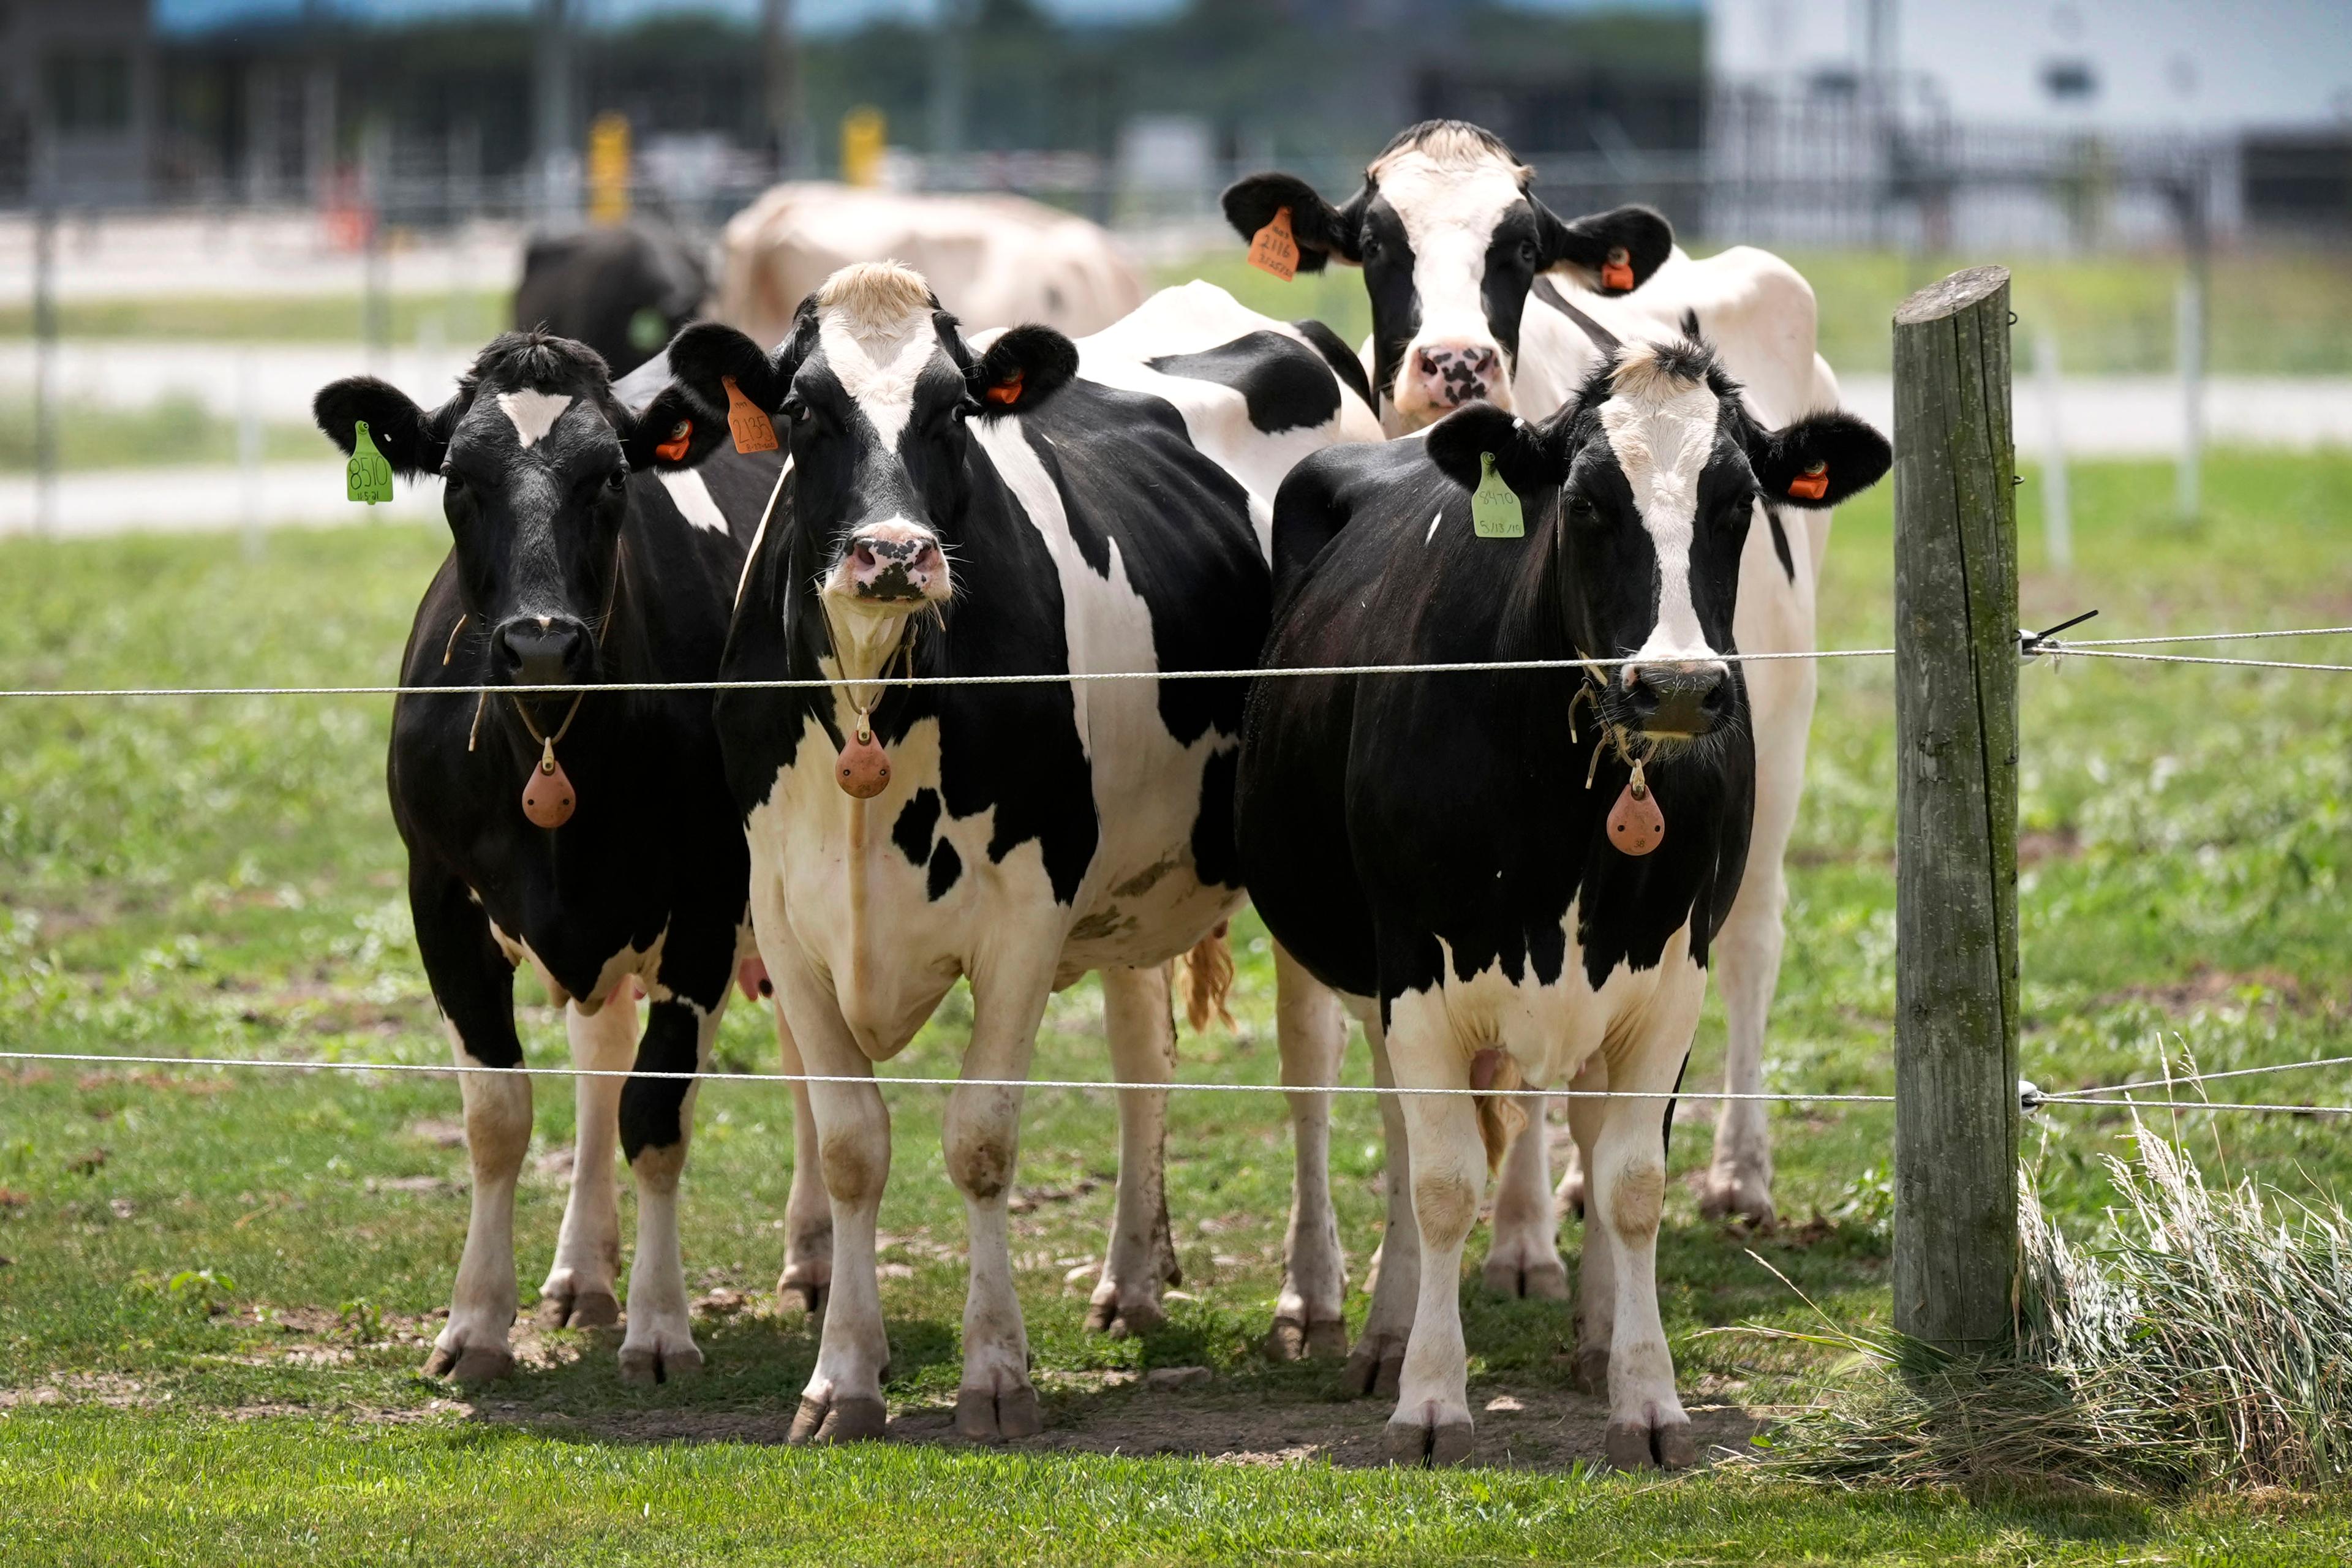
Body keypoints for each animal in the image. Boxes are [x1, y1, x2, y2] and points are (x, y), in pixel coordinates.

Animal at [308, 331, 790, 1382]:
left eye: (609, 477)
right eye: (458, 477)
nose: (538, 644)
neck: (552, 746)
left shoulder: (708, 898)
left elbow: (657, 1115)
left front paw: (662, 1327)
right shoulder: (438, 896)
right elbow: (500, 1117)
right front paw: (476, 1325)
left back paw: (811, 1263)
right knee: (599, 1061)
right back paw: (583, 1273)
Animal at [1232, 116, 1853, 1241]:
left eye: (1518, 250)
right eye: (1377, 243)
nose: (1456, 363)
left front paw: (1524, 1241)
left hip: (1783, 726)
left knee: (1752, 938)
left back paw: (1739, 1171)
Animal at [1242, 334, 1882, 1476]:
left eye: (1737, 502)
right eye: (1585, 504)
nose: (1678, 687)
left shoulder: (1670, 975)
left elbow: (1632, 1182)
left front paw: (1647, 1393)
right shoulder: (1416, 970)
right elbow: (1442, 1184)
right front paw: (1430, 1399)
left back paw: (1592, 1331)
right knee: (1400, 1135)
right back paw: (1389, 1333)